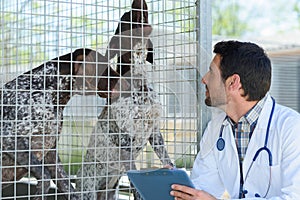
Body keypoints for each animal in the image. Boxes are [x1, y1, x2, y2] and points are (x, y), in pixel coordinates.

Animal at [0, 47, 127, 199]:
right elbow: (45, 176)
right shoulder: (10, 138)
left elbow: (67, 186)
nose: (128, 83)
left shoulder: (50, 153)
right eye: (104, 68)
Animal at [75, 0, 173, 199]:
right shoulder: (125, 142)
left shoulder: (154, 133)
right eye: (126, 18)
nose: (136, 2)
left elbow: (167, 158)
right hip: (87, 191)